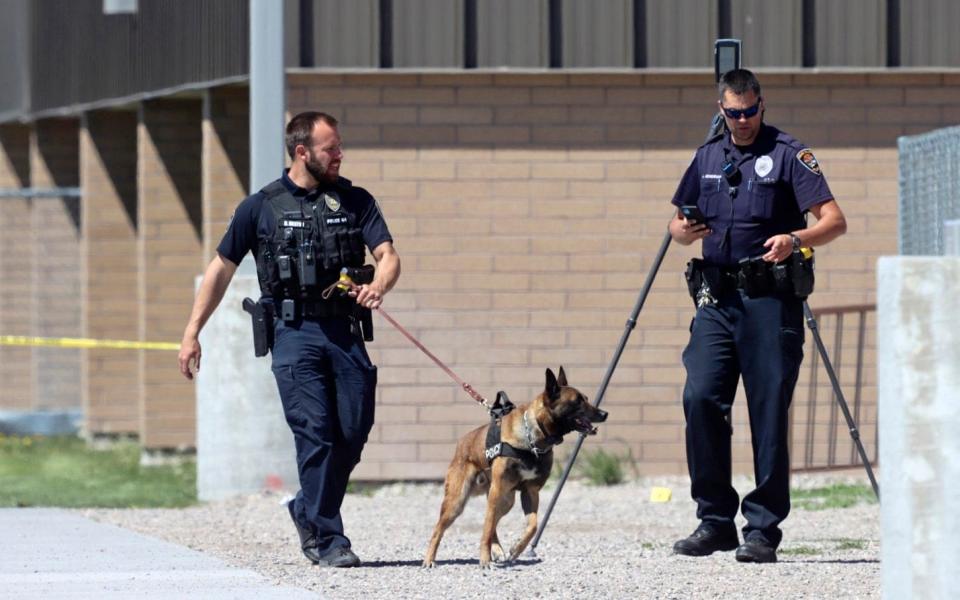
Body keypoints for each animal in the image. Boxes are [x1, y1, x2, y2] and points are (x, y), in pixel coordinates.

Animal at [422, 366, 608, 568]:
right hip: (458, 502)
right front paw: (484, 559)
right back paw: (429, 559)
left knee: (492, 524)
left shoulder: (530, 492)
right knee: (441, 529)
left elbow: (533, 525)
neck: (532, 438)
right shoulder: (499, 491)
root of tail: (462, 442)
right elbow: (486, 529)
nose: (605, 414)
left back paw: (496, 549)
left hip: (505, 500)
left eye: (587, 399)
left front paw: (517, 548)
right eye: (577, 401)